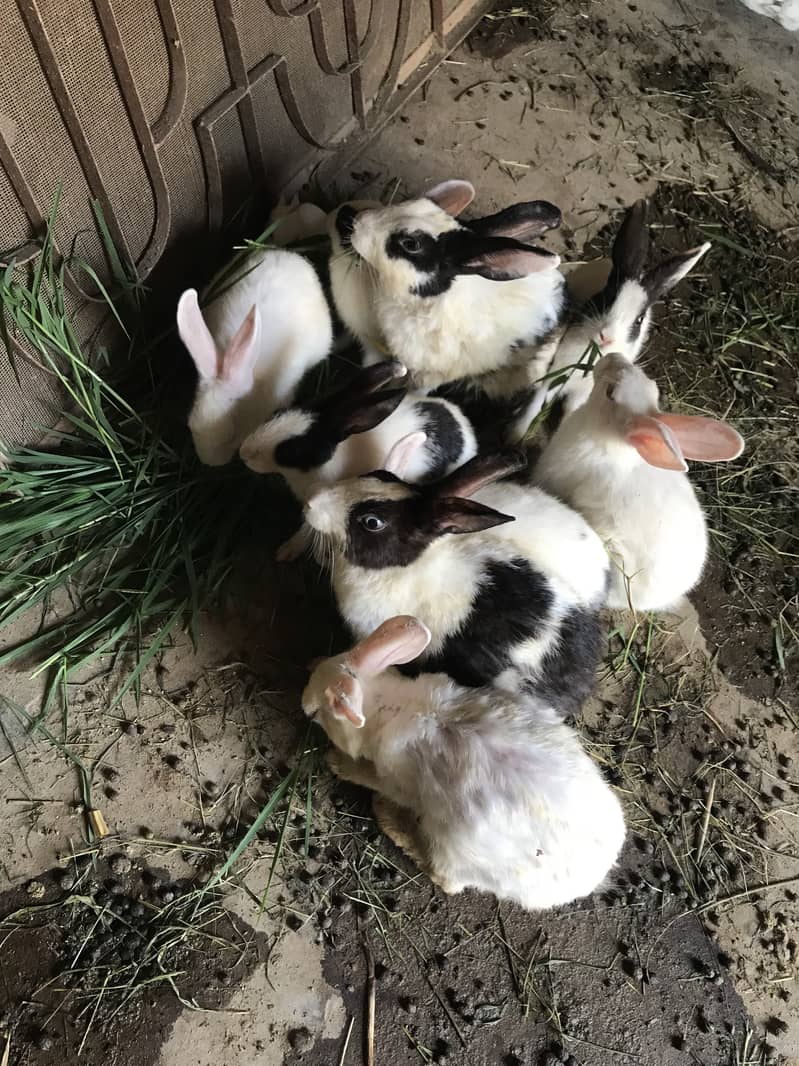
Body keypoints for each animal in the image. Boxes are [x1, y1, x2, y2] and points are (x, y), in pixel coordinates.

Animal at [238, 360, 478, 559]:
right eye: (280, 411)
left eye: (292, 449)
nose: (244, 453)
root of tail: (463, 424)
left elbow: (309, 526)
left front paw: (287, 551)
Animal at [302, 615, 626, 908]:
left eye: (318, 713)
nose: (304, 705)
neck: (394, 705)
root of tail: (593, 876)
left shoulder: (392, 778)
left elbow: (368, 776)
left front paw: (337, 763)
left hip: (453, 850)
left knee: (446, 881)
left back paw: (395, 825)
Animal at [510, 200, 711, 438]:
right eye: (606, 298)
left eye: (639, 320)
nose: (606, 336)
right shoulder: (554, 376)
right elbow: (535, 404)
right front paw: (514, 436)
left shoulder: (582, 392)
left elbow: (569, 414)